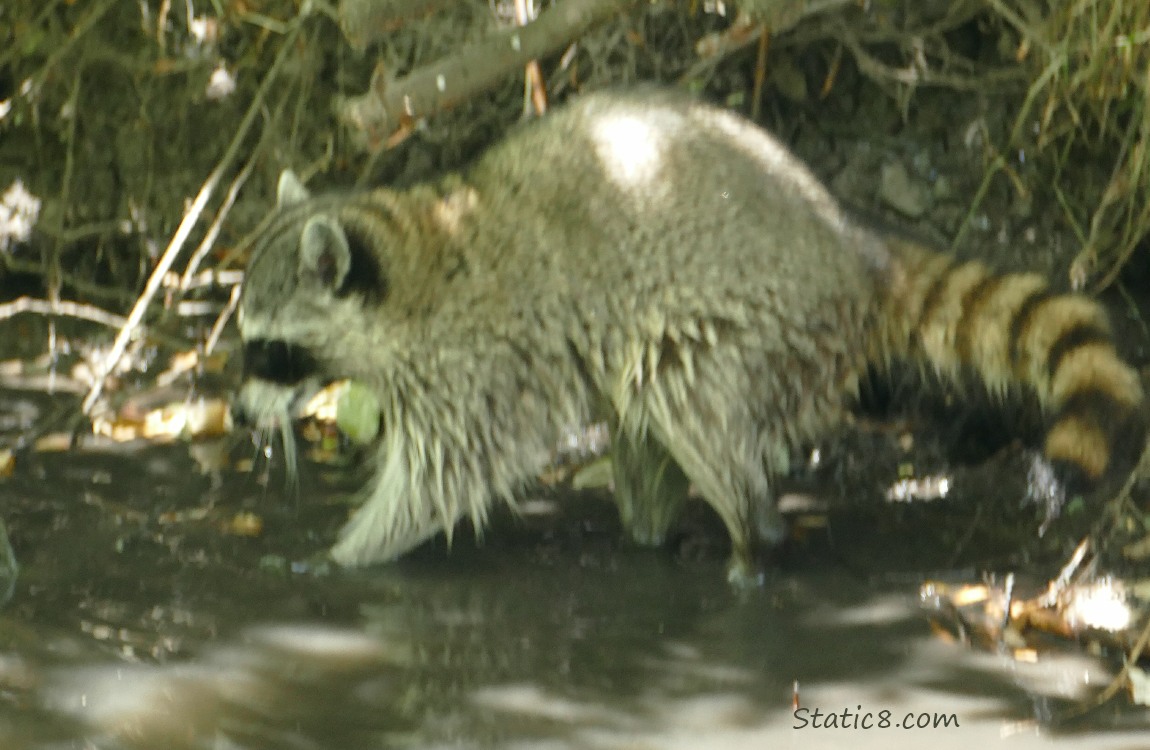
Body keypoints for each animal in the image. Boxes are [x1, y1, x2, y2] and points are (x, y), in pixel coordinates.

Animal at [234, 88, 1144, 584]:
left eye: (264, 348)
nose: (241, 416)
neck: (412, 257)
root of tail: (855, 253)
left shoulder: (473, 361)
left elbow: (444, 476)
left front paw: (345, 555)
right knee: (643, 418)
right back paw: (655, 527)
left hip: (759, 318)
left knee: (682, 383)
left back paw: (751, 543)